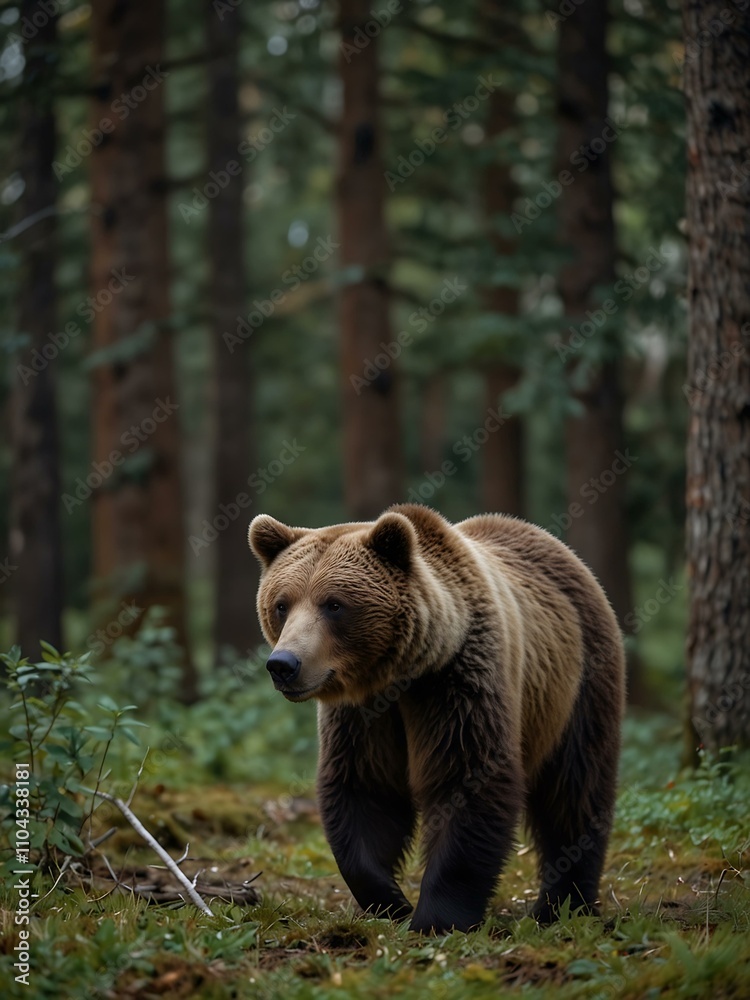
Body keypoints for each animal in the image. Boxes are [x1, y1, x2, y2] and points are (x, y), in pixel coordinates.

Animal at [248, 503, 625, 934]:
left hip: (577, 685)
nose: (283, 664)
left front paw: (438, 917)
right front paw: (389, 899)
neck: (403, 674)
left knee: (576, 788)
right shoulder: (364, 716)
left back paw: (563, 904)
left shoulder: (458, 686)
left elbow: (467, 780)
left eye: (334, 604)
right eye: (282, 604)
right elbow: (364, 789)